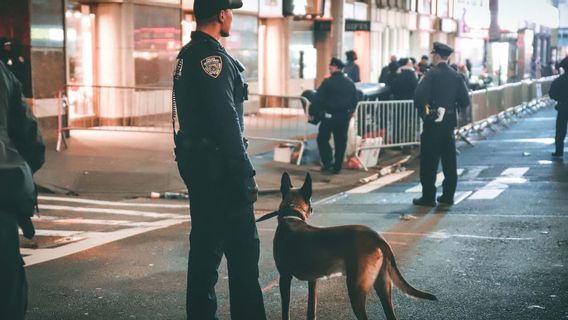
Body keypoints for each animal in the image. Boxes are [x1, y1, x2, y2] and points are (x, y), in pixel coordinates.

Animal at [258, 172, 440, 320]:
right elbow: (311, 310)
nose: (312, 209)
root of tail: (376, 236)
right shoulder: (313, 281)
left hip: (356, 289)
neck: (291, 215)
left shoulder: (284, 278)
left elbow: (285, 311)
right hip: (383, 287)